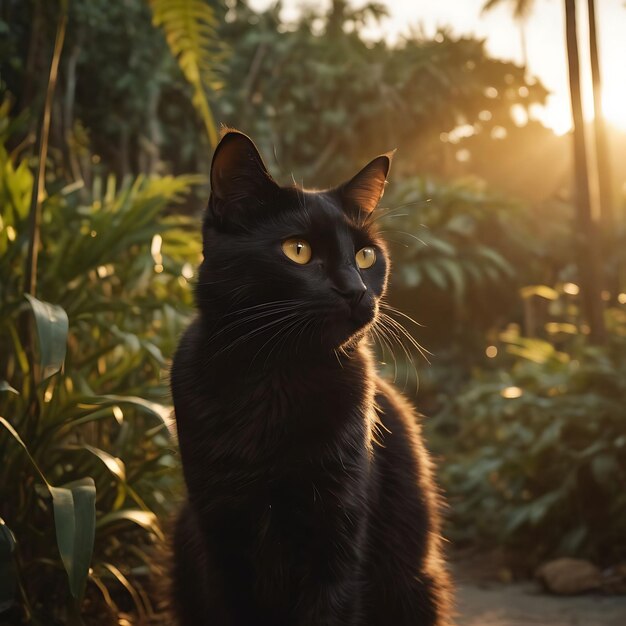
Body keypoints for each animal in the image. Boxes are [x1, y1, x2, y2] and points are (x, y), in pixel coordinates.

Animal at [171, 129, 450, 620]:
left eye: (366, 255)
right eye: (297, 251)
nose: (356, 290)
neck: (276, 379)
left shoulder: (336, 533)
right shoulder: (220, 533)